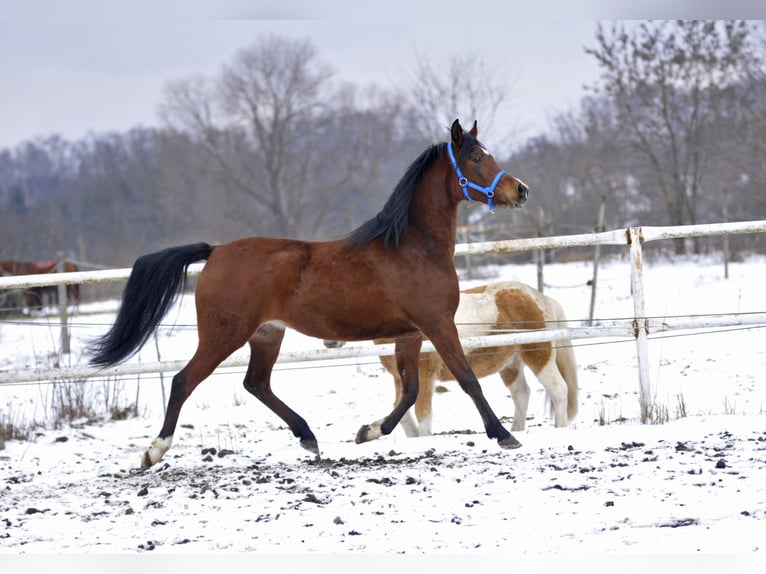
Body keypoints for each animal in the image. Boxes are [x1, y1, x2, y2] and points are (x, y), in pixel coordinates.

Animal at [88, 119, 530, 470]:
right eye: (476, 158)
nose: (521, 190)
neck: (412, 248)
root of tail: (215, 252)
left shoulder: (410, 334)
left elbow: (410, 391)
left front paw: (367, 432)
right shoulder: (437, 325)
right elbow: (467, 379)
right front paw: (503, 435)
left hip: (267, 334)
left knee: (256, 384)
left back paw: (308, 437)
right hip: (223, 335)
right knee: (184, 381)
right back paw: (153, 452)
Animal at [370, 281, 578, 437]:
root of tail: (540, 297)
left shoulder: (424, 375)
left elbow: (422, 413)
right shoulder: (399, 377)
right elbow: (401, 410)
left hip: (539, 354)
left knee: (558, 390)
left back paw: (559, 428)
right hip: (511, 363)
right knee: (521, 393)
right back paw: (516, 430)